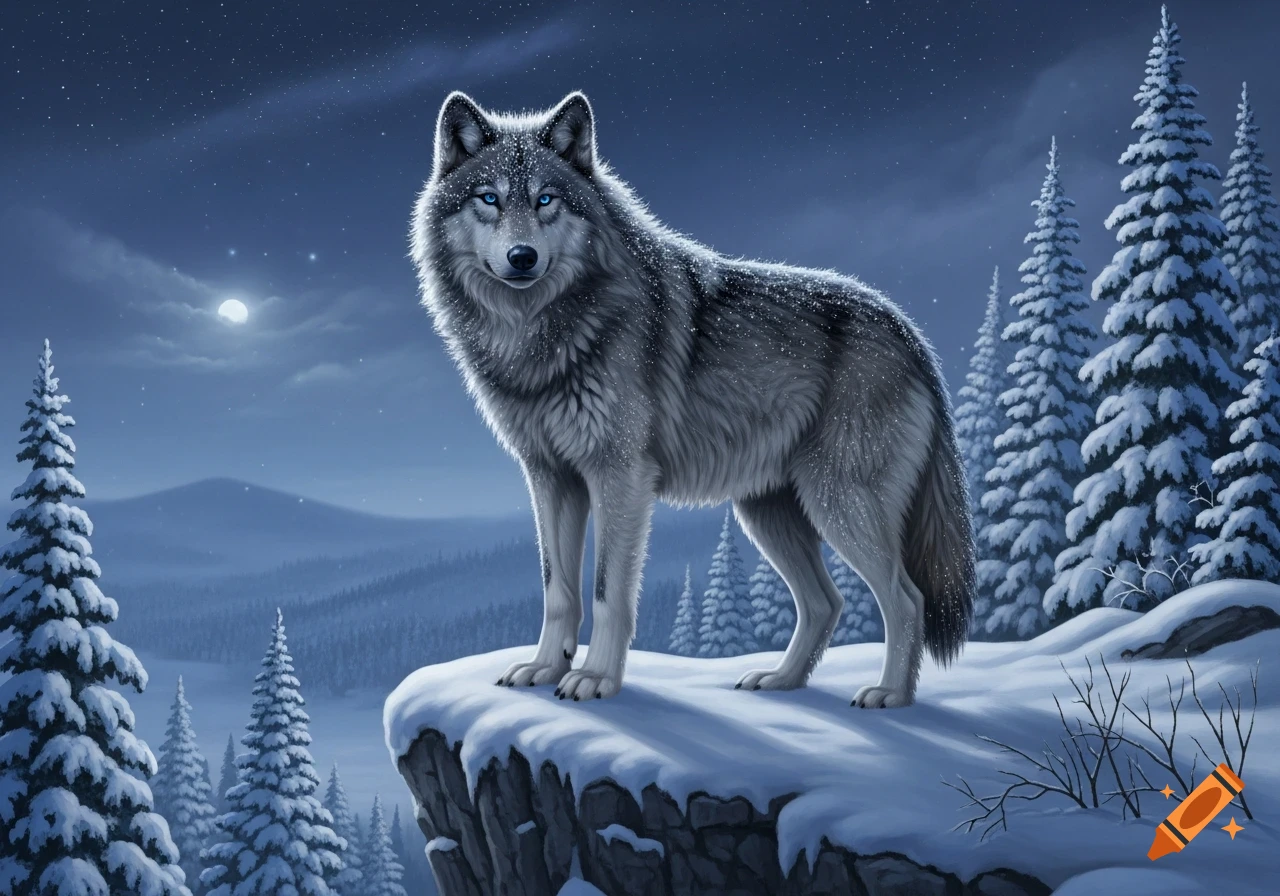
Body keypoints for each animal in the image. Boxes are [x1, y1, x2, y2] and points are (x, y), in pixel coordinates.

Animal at [410, 91, 975, 707]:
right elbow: (557, 589)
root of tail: (911, 334)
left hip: (839, 503)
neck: (543, 331)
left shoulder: (620, 475)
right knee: (827, 602)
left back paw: (890, 695)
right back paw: (781, 681)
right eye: (489, 199)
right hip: (769, 512)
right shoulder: (549, 476)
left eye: (546, 200)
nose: (522, 257)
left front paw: (596, 679)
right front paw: (544, 667)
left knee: (906, 598)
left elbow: (607, 591)